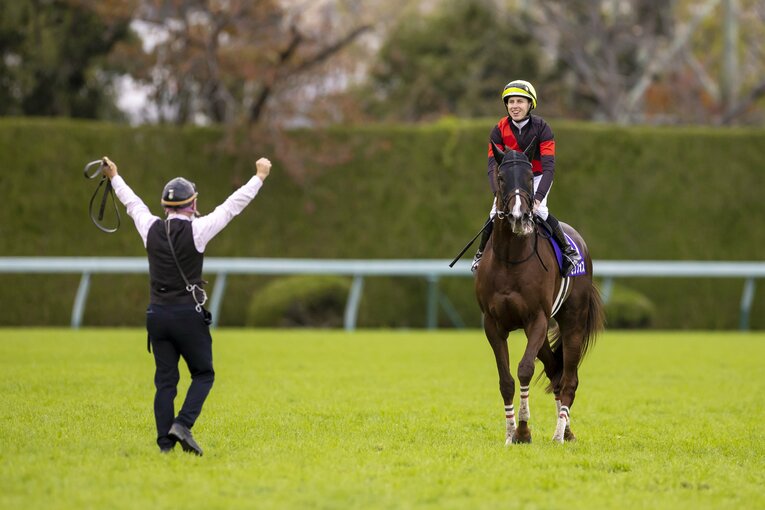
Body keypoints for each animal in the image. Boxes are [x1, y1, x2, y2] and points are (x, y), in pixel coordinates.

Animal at [475, 144, 605, 445]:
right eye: (501, 178)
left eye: (527, 179)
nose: (519, 217)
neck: (510, 259)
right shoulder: (493, 324)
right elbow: (506, 380)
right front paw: (510, 432)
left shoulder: (537, 319)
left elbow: (524, 369)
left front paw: (523, 430)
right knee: (556, 371)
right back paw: (565, 429)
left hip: (572, 322)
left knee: (569, 378)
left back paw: (559, 434)